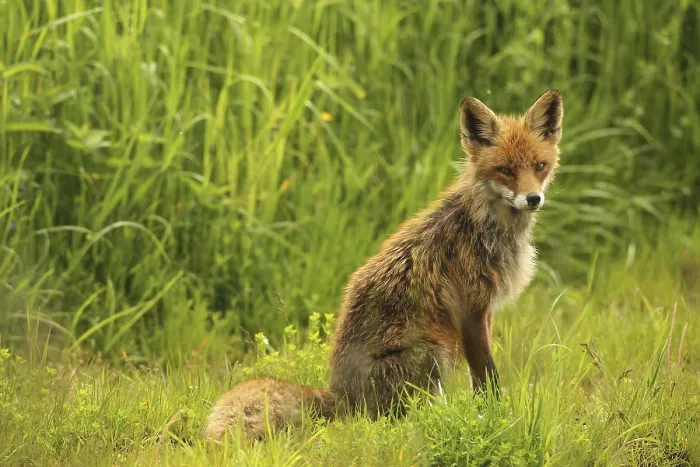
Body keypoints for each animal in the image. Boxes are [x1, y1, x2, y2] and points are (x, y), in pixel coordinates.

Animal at [204, 89, 564, 441]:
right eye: (505, 170)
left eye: (539, 165)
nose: (533, 199)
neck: (487, 225)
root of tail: (341, 396)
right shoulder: (471, 310)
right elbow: (487, 374)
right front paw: (493, 418)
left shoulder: (485, 310)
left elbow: (482, 376)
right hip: (433, 352)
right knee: (403, 419)